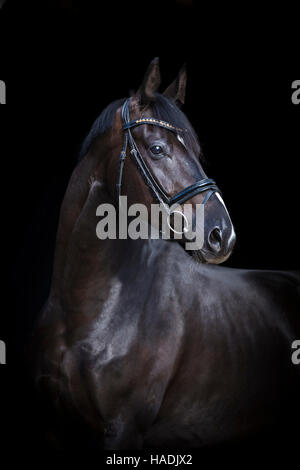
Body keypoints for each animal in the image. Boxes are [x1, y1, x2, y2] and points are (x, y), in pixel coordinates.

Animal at [32, 57, 300, 448]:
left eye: (197, 152)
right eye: (157, 149)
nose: (223, 234)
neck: (85, 312)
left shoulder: (124, 428)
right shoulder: (54, 427)